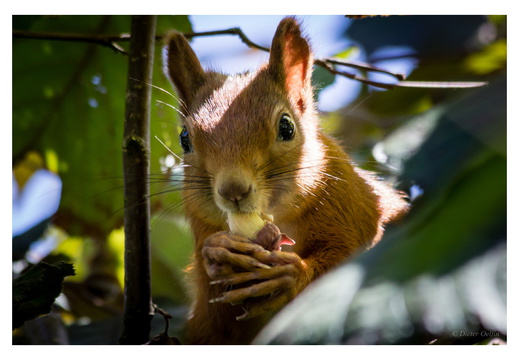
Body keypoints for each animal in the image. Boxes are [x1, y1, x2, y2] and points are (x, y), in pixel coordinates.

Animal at [165, 17, 408, 346]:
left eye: (286, 127)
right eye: (184, 139)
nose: (233, 191)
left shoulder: (349, 205)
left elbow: (346, 260)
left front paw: (291, 276)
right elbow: (216, 321)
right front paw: (218, 252)